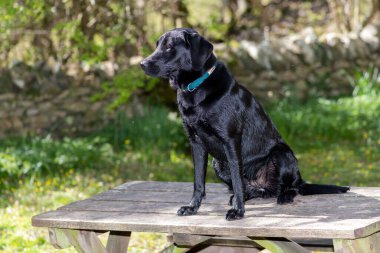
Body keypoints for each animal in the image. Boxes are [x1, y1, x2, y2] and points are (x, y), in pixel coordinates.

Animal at [140, 28, 350, 220]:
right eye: (157, 45)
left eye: (169, 47)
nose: (142, 64)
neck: (195, 88)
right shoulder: (196, 143)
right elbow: (198, 182)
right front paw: (192, 208)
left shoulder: (231, 141)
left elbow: (237, 180)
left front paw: (238, 212)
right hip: (218, 163)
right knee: (254, 190)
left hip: (282, 154)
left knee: (291, 187)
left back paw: (284, 196)